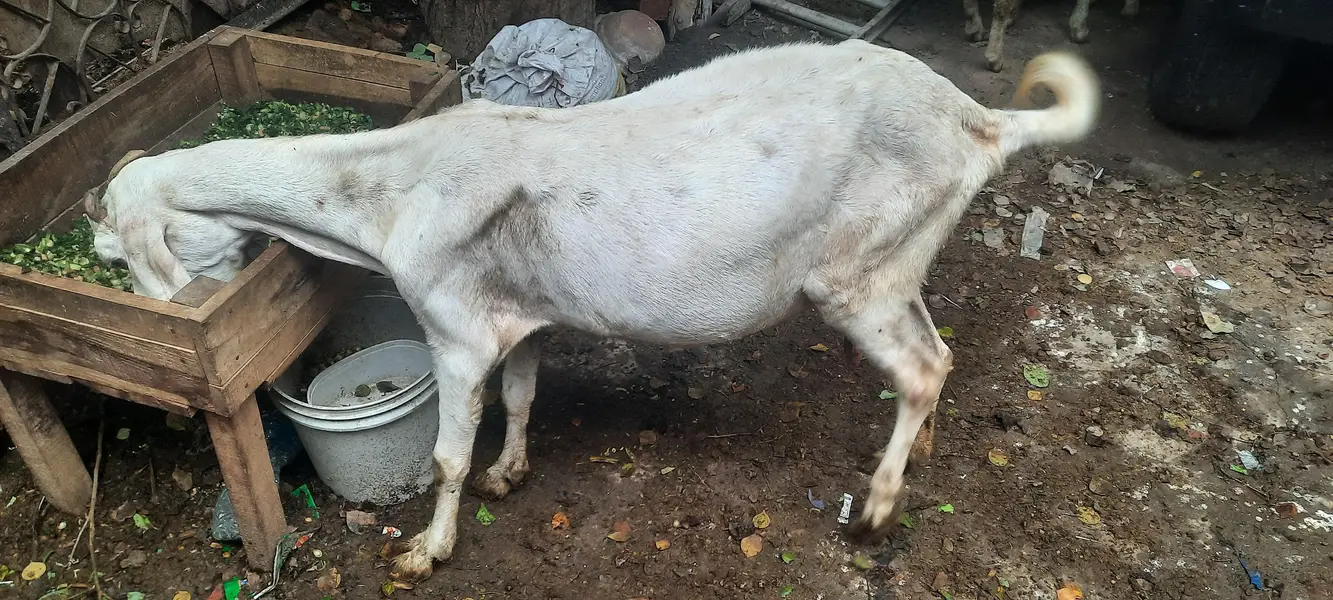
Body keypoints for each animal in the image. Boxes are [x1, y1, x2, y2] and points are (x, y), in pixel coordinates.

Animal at [88, 40, 1099, 581]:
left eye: (124, 253)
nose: (167, 362)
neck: (395, 187)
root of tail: (978, 121)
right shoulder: (522, 316)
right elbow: (523, 396)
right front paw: (511, 474)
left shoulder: (453, 326)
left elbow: (447, 454)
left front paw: (426, 552)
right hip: (899, 256)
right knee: (939, 356)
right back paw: (919, 453)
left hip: (857, 270)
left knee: (922, 365)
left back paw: (880, 508)